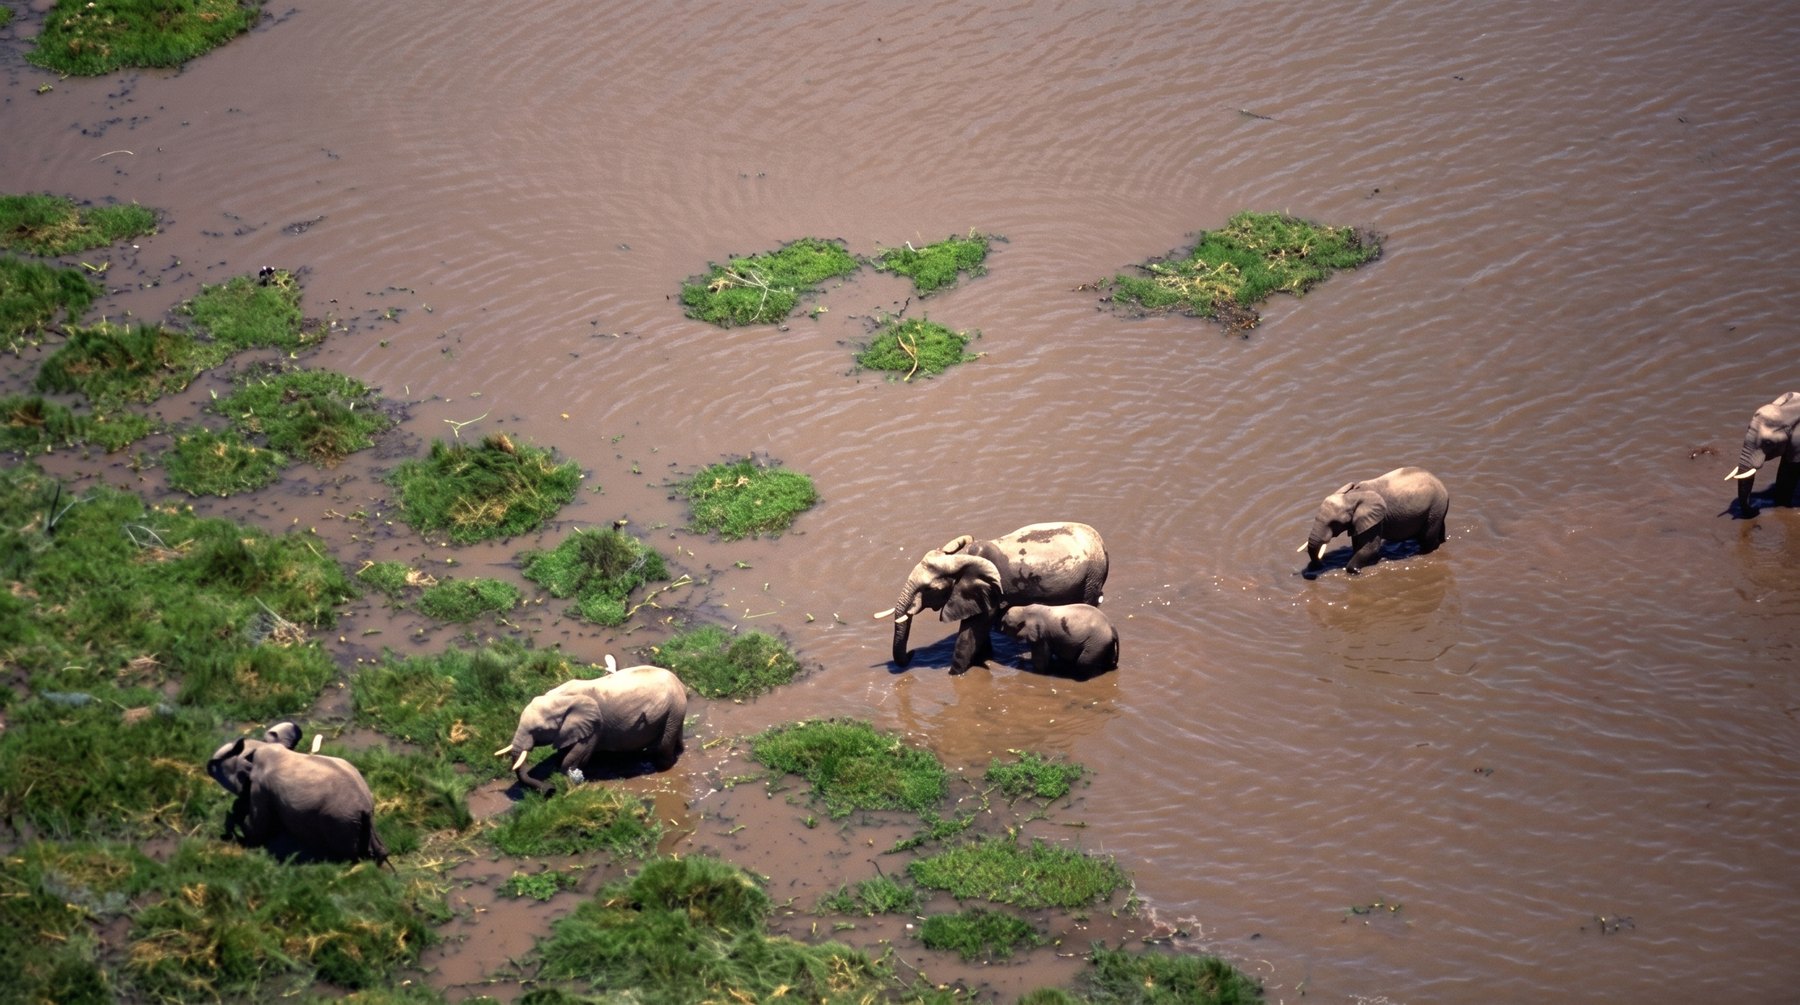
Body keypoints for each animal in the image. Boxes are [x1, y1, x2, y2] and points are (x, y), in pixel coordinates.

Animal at [206, 722, 389, 865]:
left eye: (215, 766)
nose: (208, 766)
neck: (261, 747)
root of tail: (364, 807)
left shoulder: (261, 789)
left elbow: (257, 824)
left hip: (339, 820)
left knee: (348, 852)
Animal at [493, 655, 688, 796]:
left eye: (538, 731)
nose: (549, 790)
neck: (560, 697)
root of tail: (679, 681)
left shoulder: (594, 727)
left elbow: (578, 753)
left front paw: (570, 777)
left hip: (674, 709)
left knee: (665, 742)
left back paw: (659, 766)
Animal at [874, 522, 1108, 675]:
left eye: (931, 588)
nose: (912, 653)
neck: (962, 555)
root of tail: (1102, 543)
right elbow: (978, 629)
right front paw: (983, 659)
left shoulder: (993, 589)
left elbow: (973, 629)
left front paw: (954, 674)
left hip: (1091, 580)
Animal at [1300, 467, 1449, 575]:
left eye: (1334, 523)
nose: (1320, 565)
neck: (1352, 495)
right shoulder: (1359, 522)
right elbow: (1358, 544)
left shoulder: (1377, 520)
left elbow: (1370, 547)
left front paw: (1356, 571)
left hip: (1435, 507)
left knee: (1427, 538)